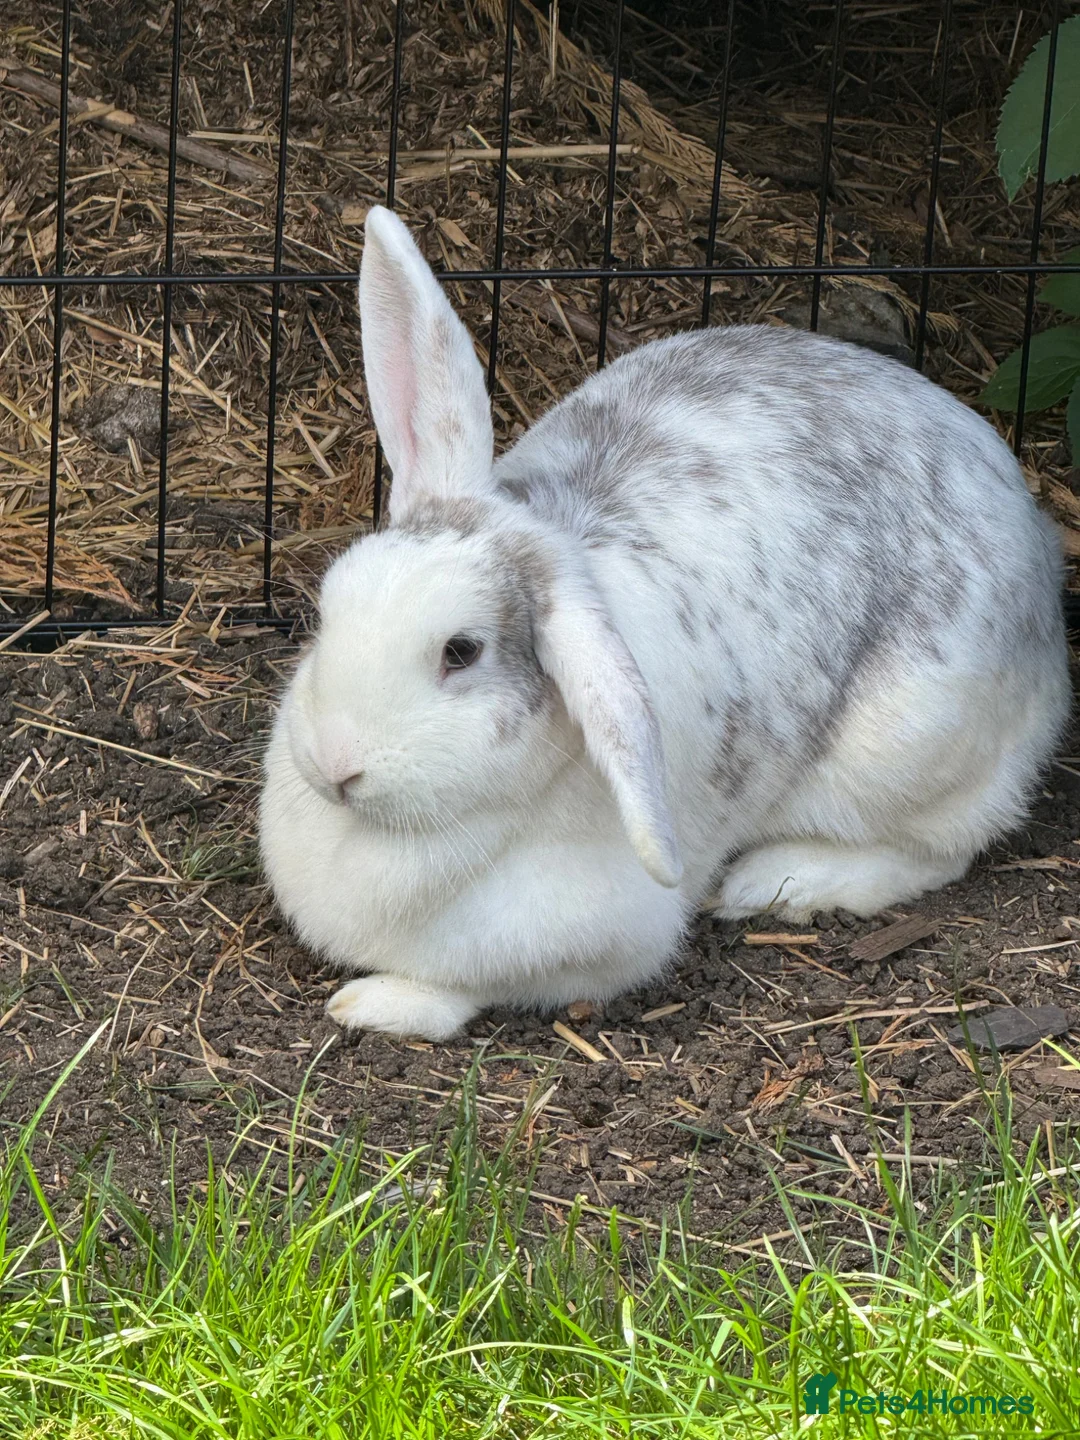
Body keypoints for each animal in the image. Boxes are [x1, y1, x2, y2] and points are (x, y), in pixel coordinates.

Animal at [259, 204, 1070, 1042]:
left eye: (461, 651)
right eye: (329, 607)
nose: (334, 762)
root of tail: (1032, 525)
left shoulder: (586, 947)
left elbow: (465, 986)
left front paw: (371, 1003)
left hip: (911, 752)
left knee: (941, 848)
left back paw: (774, 882)